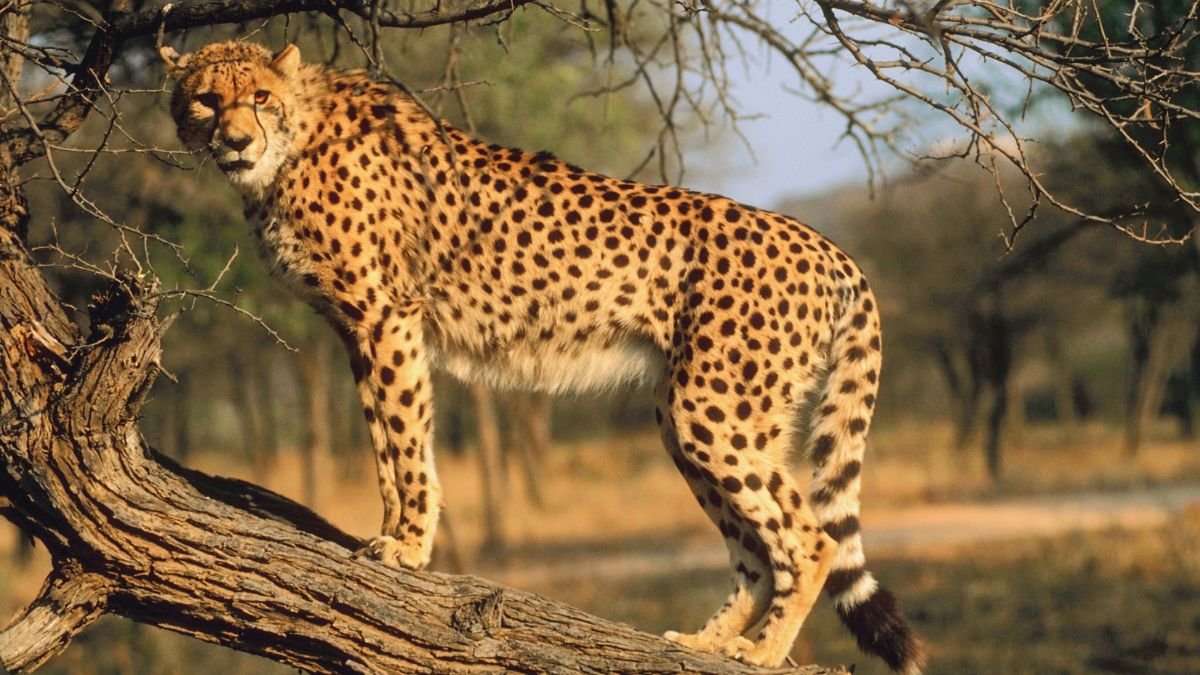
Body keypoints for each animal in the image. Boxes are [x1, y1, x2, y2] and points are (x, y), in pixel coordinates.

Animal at [161, 39, 924, 673]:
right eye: (207, 99)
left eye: (261, 97)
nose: (234, 139)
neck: (290, 147)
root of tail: (828, 246)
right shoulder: (357, 331)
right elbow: (384, 441)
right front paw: (392, 534)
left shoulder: (387, 317)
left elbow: (405, 439)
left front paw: (407, 545)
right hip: (690, 414)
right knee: (757, 551)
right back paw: (706, 641)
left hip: (714, 410)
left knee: (811, 539)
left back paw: (760, 652)